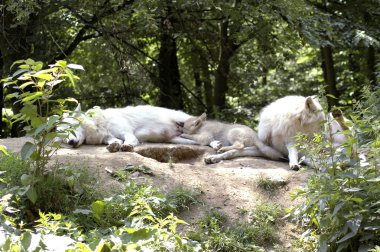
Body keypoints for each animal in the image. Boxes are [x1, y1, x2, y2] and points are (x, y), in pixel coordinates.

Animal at [60, 104, 197, 152]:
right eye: (62, 136)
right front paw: (114, 146)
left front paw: (127, 146)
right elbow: (115, 141)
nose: (70, 142)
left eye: (70, 129)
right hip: (178, 140)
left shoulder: (127, 132)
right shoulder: (108, 137)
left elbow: (130, 140)